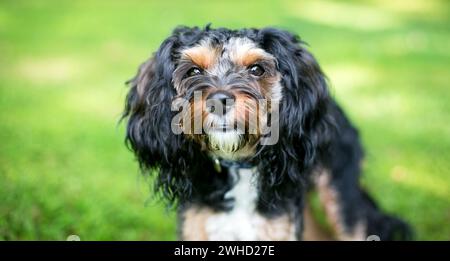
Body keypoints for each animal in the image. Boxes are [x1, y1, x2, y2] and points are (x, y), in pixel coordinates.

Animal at [122, 25, 412, 239]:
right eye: (193, 71)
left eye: (257, 69)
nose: (218, 101)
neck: (239, 167)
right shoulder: (197, 227)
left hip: (340, 196)